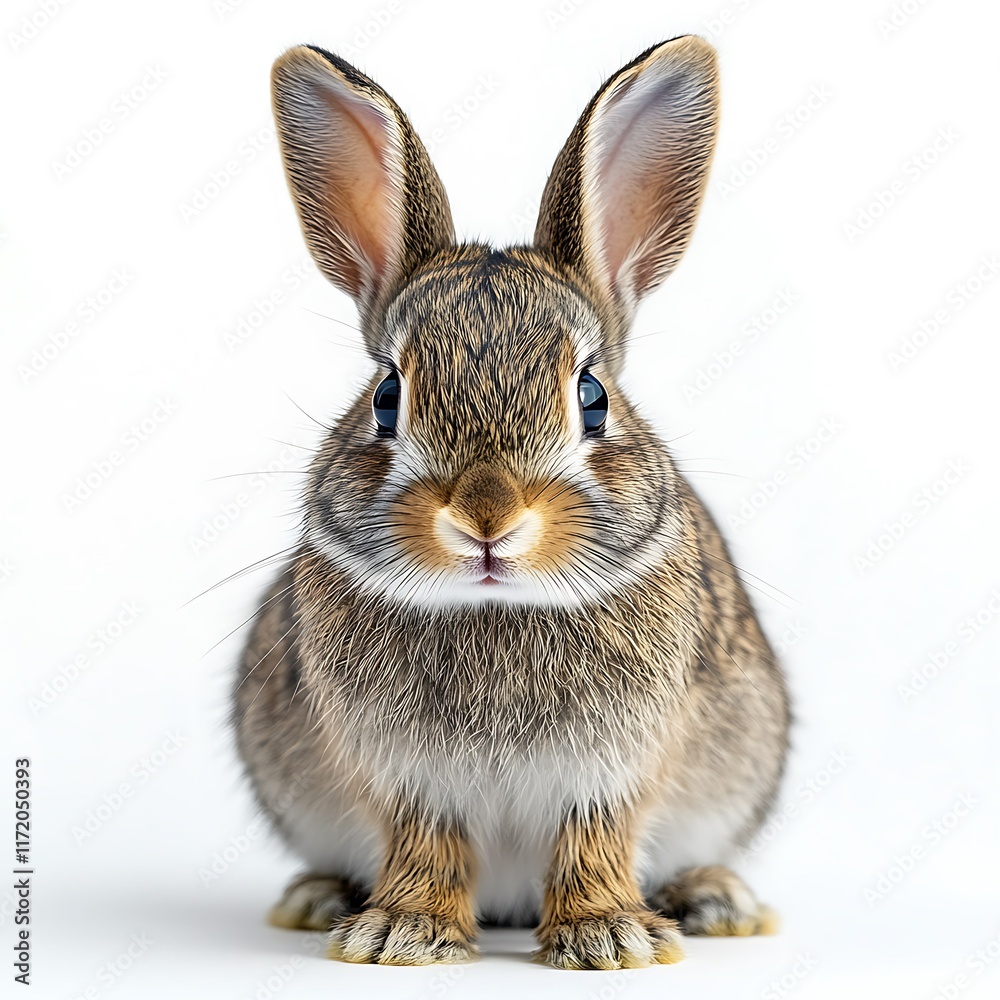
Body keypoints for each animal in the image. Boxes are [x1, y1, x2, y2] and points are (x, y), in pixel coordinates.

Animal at [233, 35, 791, 970]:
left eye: (592, 396)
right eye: (387, 398)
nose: (486, 519)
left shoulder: (614, 768)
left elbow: (597, 841)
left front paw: (607, 939)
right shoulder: (407, 776)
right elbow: (424, 844)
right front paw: (400, 934)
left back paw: (717, 901)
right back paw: (318, 899)